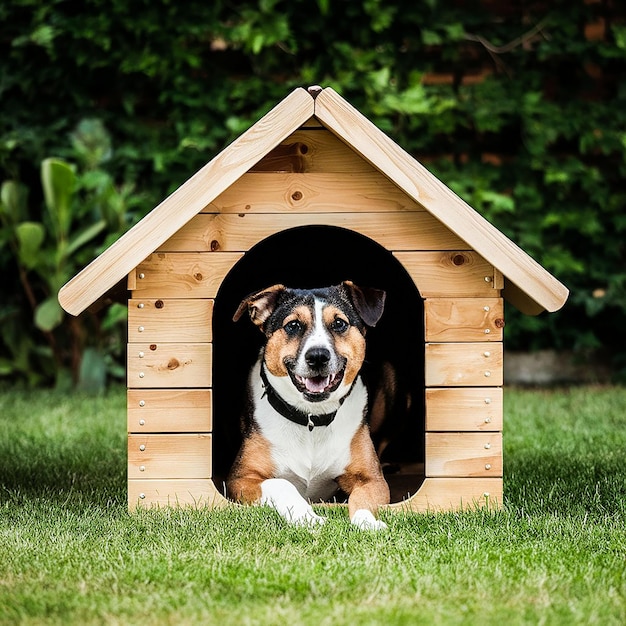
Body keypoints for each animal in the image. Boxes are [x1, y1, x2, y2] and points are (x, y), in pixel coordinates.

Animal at [224, 280, 390, 528]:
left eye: (339, 323)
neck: (312, 417)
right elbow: (282, 484)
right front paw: (306, 517)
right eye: (293, 325)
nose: (318, 356)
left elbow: (362, 499)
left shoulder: (372, 479)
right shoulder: (241, 478)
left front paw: (367, 522)